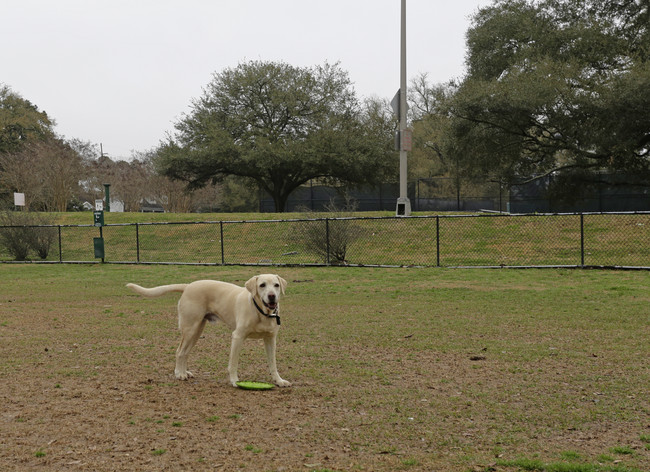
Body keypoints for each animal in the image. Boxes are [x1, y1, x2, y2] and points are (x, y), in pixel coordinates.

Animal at [126, 272, 288, 388]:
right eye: (262, 285)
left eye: (276, 285)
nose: (272, 296)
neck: (261, 312)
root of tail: (188, 286)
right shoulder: (237, 337)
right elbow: (233, 364)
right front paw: (234, 381)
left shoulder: (270, 339)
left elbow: (273, 364)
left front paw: (279, 381)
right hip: (190, 329)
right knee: (179, 351)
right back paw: (179, 374)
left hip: (197, 331)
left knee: (184, 352)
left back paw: (184, 372)